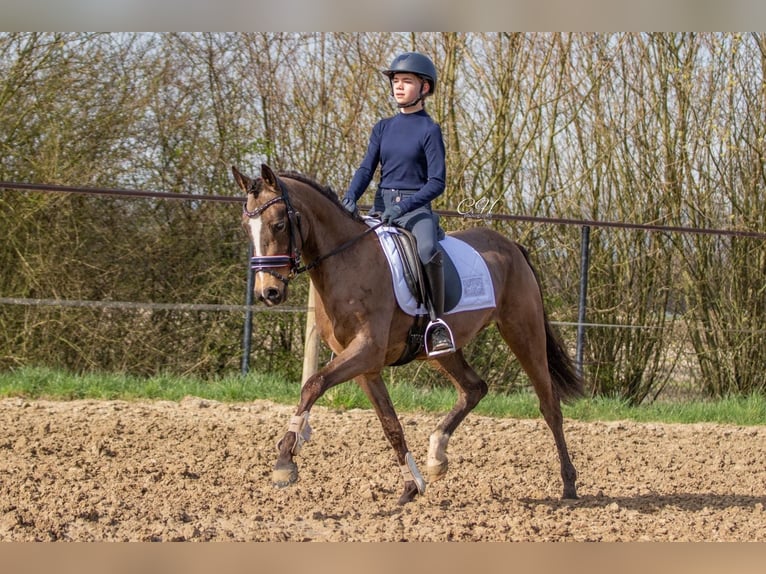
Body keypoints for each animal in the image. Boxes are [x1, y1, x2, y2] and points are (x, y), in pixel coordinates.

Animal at [231, 164, 584, 506]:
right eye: (247, 228)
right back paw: (437, 455)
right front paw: (411, 486)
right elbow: (391, 425)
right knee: (474, 388)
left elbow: (312, 385)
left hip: (523, 332)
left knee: (549, 406)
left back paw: (569, 485)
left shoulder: (366, 351)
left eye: (278, 224)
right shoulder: (365, 366)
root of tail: (512, 246)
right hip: (441, 350)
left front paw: (284, 462)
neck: (346, 262)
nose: (268, 292)